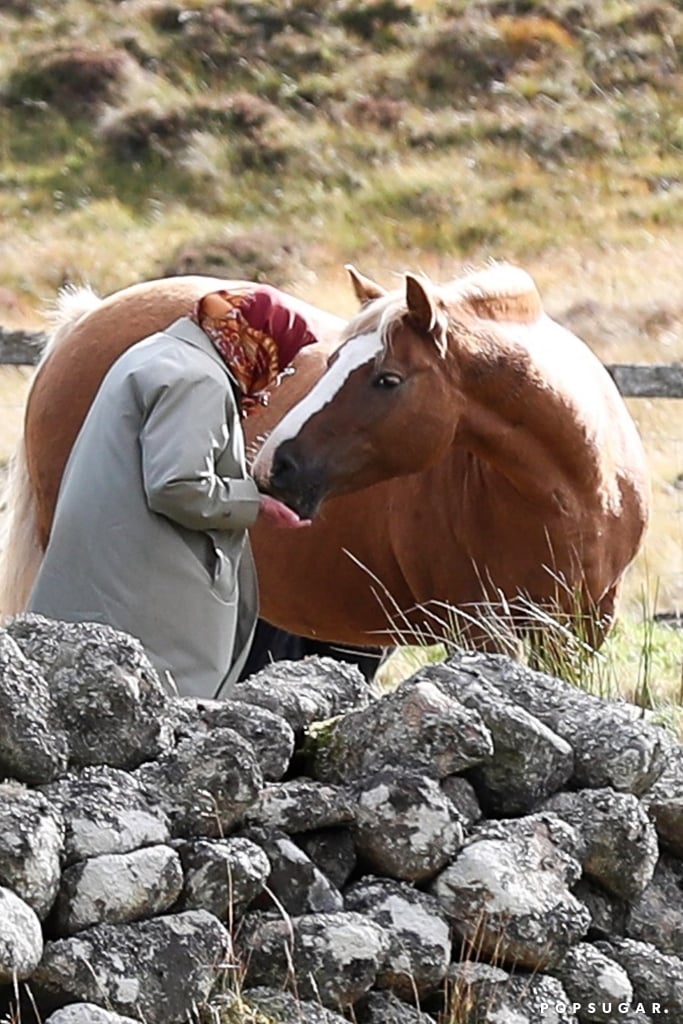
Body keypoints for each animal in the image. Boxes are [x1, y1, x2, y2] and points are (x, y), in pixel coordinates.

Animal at [0, 264, 651, 659]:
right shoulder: (480, 631)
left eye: (387, 379)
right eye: (331, 361)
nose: (273, 466)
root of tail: (85, 320)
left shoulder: (585, 626)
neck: (574, 492)